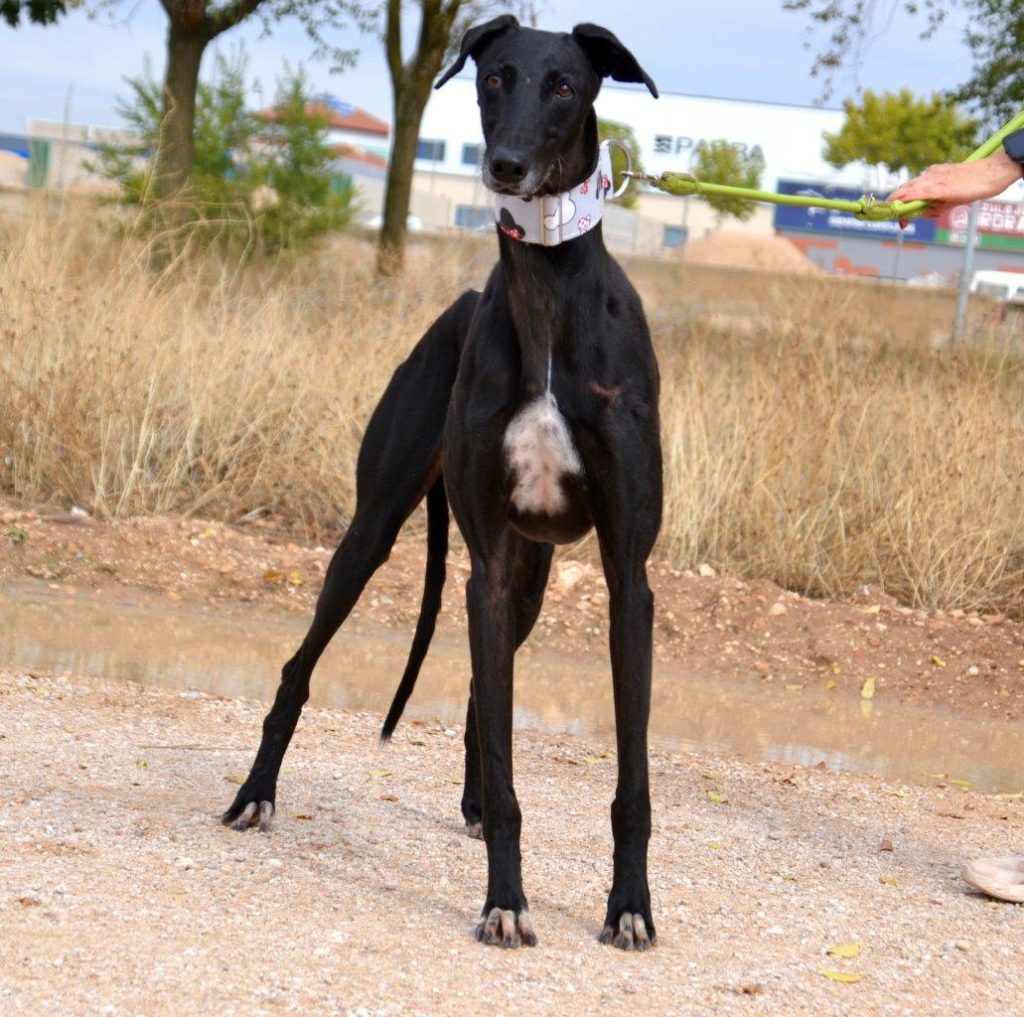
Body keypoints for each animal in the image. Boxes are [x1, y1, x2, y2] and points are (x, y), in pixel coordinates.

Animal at [222, 17, 663, 950]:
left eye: (564, 84)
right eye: (494, 77)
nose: (505, 166)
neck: (545, 298)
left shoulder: (626, 577)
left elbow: (629, 777)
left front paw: (630, 905)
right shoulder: (486, 568)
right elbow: (503, 757)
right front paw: (505, 899)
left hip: (530, 579)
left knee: (472, 695)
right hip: (375, 533)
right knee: (300, 666)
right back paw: (255, 792)